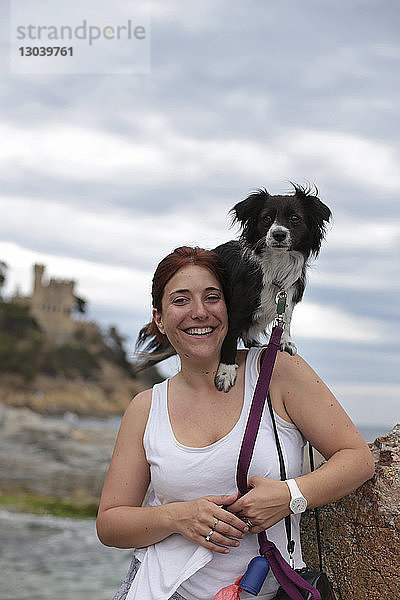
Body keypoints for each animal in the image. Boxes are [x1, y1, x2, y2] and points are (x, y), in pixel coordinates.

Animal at [136, 185, 330, 396]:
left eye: (295, 218)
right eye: (267, 218)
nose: (278, 234)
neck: (276, 266)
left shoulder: (288, 296)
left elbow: (285, 318)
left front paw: (285, 341)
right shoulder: (235, 310)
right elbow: (229, 337)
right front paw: (226, 371)